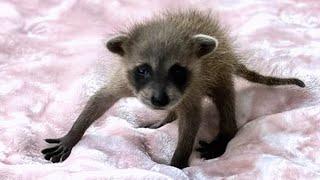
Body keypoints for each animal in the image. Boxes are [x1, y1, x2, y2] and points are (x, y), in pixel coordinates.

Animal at [41, 8, 304, 169]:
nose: (159, 101)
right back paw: (166, 118)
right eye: (143, 70)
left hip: (219, 72)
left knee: (225, 100)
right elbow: (100, 99)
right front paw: (73, 134)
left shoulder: (191, 86)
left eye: (177, 70)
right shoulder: (125, 79)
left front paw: (177, 162)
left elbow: (192, 121)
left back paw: (226, 132)